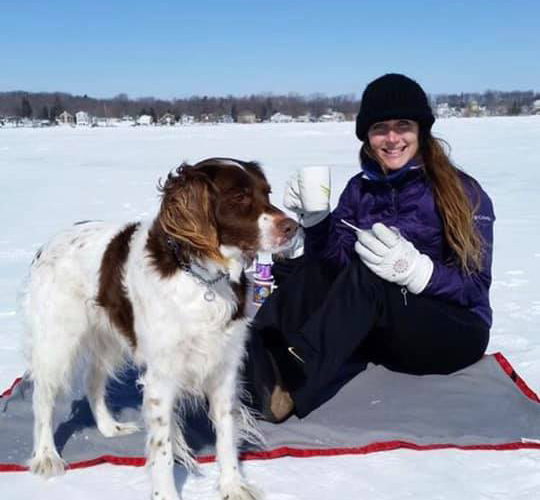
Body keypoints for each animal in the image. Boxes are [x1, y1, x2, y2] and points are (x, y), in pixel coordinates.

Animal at [21, 158, 298, 498]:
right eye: (238, 197)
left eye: (266, 192)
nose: (293, 227)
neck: (203, 280)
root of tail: (50, 242)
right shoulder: (162, 378)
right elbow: (163, 450)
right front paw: (166, 493)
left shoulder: (224, 371)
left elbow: (226, 437)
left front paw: (233, 487)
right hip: (57, 342)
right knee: (42, 399)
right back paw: (46, 456)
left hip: (107, 341)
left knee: (92, 382)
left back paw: (109, 427)